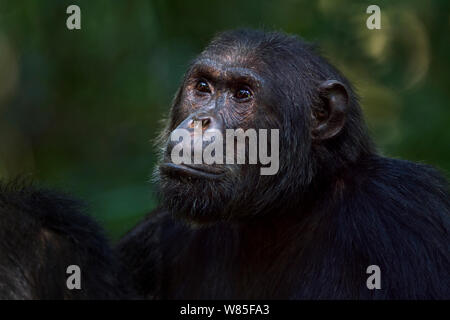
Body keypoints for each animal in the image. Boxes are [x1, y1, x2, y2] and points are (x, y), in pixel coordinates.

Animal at [117, 28, 450, 298]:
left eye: (242, 94)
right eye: (202, 87)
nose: (200, 120)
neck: (283, 212)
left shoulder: (405, 209)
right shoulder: (155, 234)